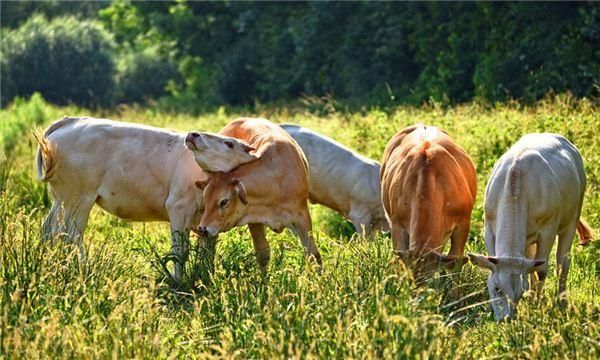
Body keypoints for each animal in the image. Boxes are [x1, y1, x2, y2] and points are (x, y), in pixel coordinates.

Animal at [35, 116, 212, 280]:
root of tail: (72, 120)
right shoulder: (179, 207)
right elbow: (180, 251)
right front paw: (178, 280)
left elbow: (207, 252)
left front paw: (206, 276)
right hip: (77, 199)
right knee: (69, 234)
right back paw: (81, 268)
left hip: (61, 200)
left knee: (49, 229)